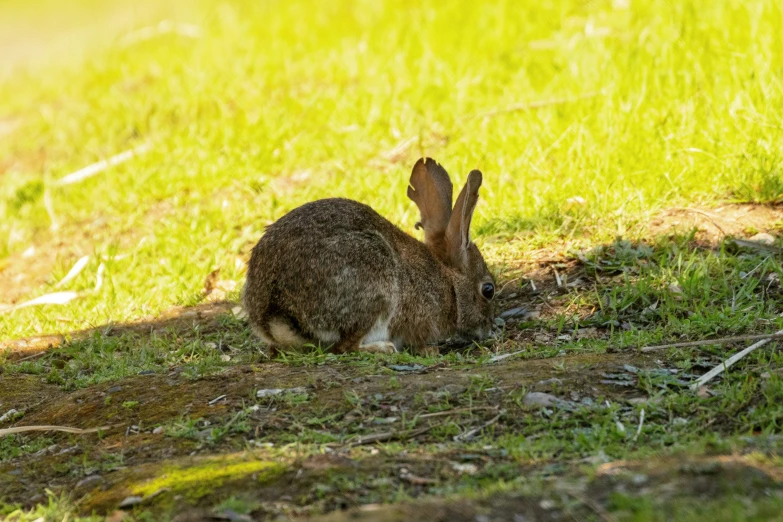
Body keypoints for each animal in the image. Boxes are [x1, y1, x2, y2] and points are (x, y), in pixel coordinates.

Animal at [242, 156, 496, 356]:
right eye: (488, 290)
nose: (489, 328)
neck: (449, 282)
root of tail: (275, 312)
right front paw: (428, 349)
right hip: (374, 286)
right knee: (344, 347)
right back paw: (383, 348)